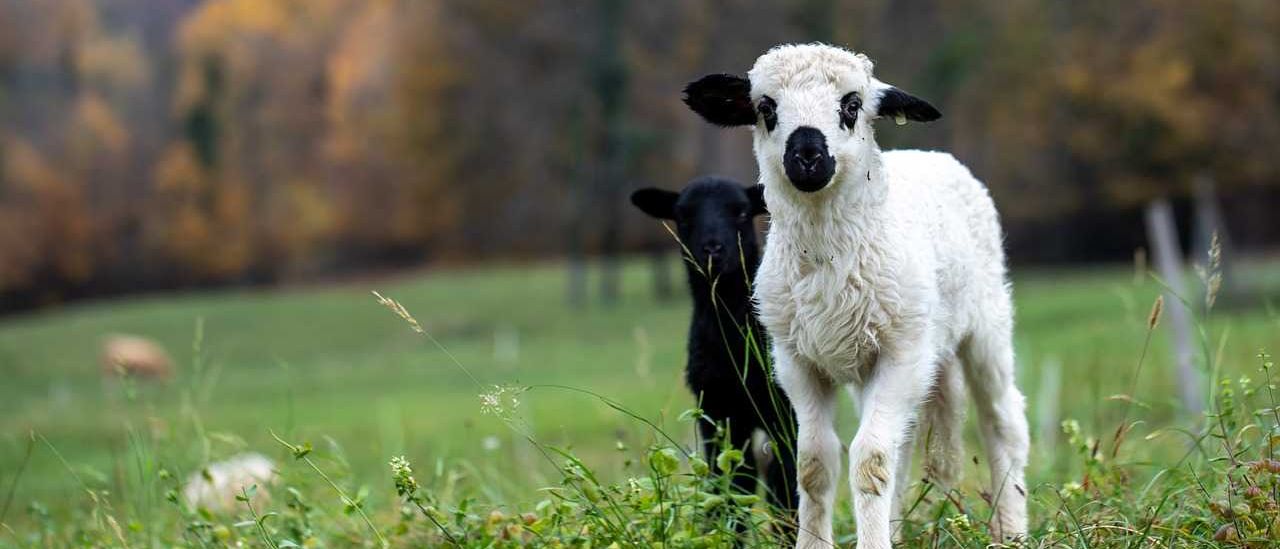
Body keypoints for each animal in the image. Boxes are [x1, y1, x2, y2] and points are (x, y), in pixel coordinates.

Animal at [630, 176, 799, 527]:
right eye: (683, 215)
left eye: (742, 212)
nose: (712, 249)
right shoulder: (716, 410)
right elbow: (728, 485)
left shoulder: (783, 410)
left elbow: (785, 484)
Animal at [683, 44, 1029, 548]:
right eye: (766, 107)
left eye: (852, 105)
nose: (807, 155)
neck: (828, 259)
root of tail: (928, 153)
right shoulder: (795, 362)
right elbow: (813, 463)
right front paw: (814, 542)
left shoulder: (902, 353)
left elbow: (869, 461)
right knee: (903, 444)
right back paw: (898, 529)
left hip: (985, 325)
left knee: (1002, 422)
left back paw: (1012, 529)